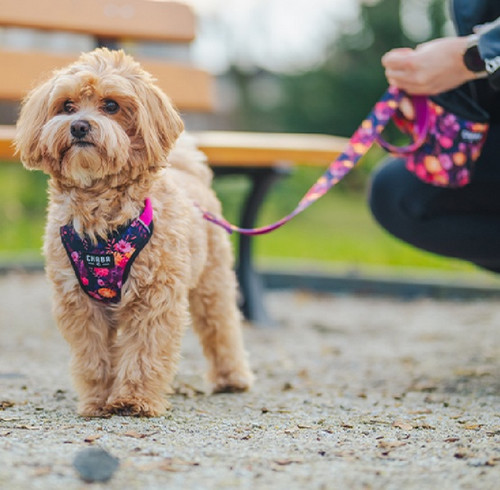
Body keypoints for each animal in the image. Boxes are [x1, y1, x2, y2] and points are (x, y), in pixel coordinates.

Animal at [15, 47, 254, 418]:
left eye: (111, 105)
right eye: (67, 105)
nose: (79, 125)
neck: (100, 220)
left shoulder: (155, 297)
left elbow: (145, 351)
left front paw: (133, 399)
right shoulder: (78, 303)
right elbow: (93, 357)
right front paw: (98, 401)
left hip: (212, 282)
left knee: (222, 327)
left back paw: (232, 378)